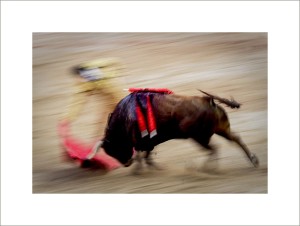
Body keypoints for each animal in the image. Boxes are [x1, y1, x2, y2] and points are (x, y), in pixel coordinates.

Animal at [95, 89, 258, 172]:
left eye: (112, 148)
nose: (126, 163)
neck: (124, 116)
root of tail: (208, 100)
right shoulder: (149, 141)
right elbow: (147, 155)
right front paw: (155, 167)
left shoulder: (142, 141)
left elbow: (142, 155)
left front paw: (139, 170)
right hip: (220, 129)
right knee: (235, 138)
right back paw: (253, 160)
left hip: (199, 137)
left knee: (214, 148)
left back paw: (204, 168)